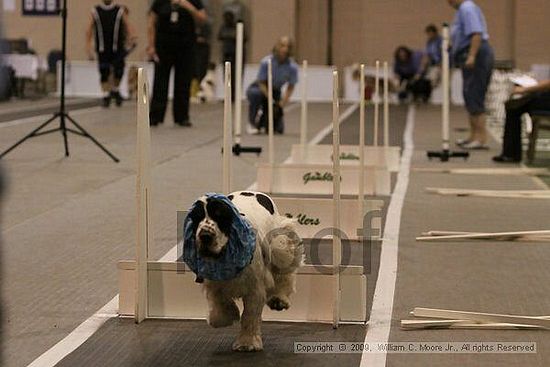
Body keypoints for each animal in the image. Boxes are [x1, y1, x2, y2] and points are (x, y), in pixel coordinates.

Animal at [183, 191, 304, 352]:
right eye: (197, 217)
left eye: (220, 215)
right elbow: (219, 299)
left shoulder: (254, 288)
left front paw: (247, 342)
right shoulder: (214, 282)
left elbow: (249, 315)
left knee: (284, 273)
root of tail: (257, 193)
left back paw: (279, 299)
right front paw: (223, 317)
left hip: (280, 244)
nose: (205, 236)